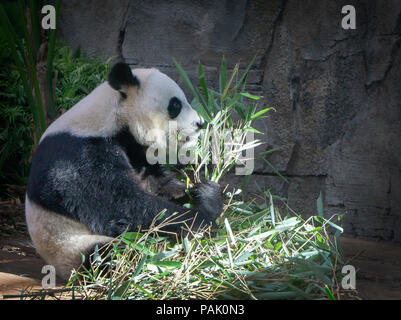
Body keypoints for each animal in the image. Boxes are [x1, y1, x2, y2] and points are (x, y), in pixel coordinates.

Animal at [25, 62, 222, 280]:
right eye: (175, 105)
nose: (200, 123)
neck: (112, 116)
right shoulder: (78, 155)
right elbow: (121, 206)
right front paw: (202, 219)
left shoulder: (134, 150)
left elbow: (158, 184)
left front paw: (205, 192)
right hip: (69, 246)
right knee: (113, 253)